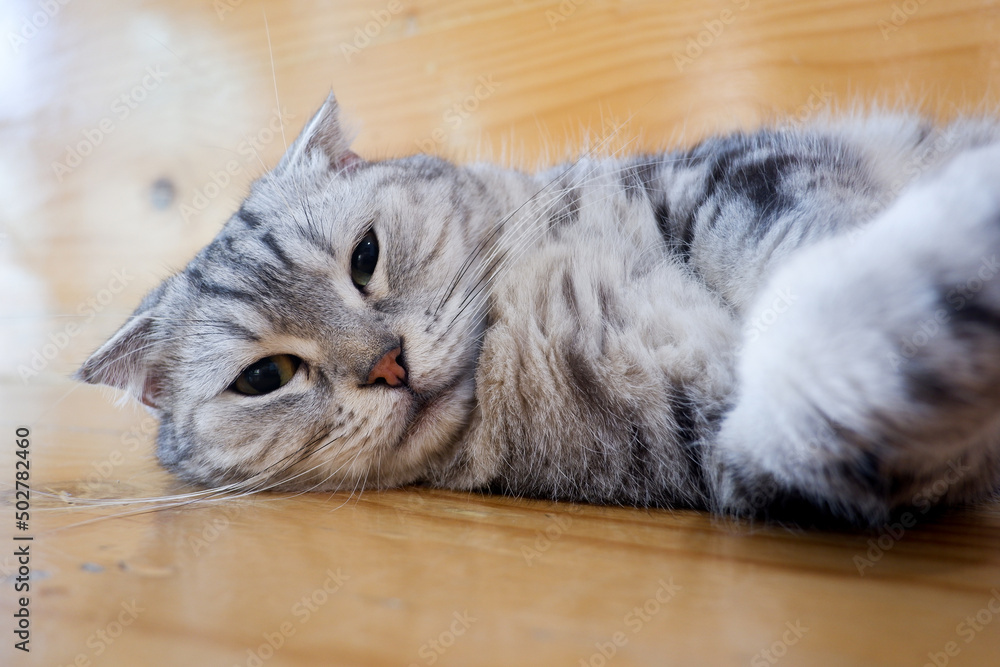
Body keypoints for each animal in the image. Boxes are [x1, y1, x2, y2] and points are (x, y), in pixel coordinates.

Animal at [74, 94, 1000, 528]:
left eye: (365, 257)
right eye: (266, 376)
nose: (387, 363)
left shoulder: (727, 178)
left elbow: (795, 256)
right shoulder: (722, 447)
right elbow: (817, 387)